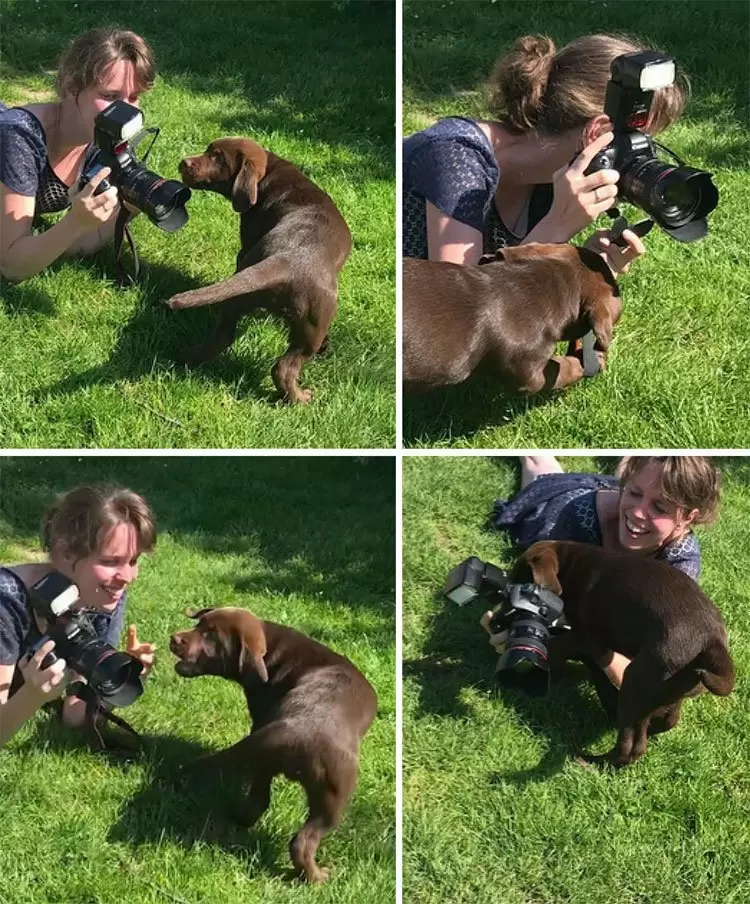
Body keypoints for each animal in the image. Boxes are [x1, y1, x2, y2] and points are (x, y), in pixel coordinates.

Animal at [164, 138, 352, 402]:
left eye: (217, 156)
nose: (184, 163)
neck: (270, 175)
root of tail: (283, 260)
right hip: (316, 322)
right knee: (284, 368)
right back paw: (299, 398)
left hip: (237, 301)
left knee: (221, 337)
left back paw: (186, 358)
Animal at [170, 608, 376, 884]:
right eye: (199, 625)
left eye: (210, 634)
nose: (174, 639)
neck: (272, 655)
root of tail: (293, 727)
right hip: (336, 795)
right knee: (302, 842)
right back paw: (316, 877)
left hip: (264, 763)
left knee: (258, 802)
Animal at [512, 540, 736, 768]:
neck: (573, 563)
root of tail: (714, 643)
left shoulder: (587, 637)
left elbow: (557, 647)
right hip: (677, 686)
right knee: (668, 720)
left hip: (638, 682)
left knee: (630, 747)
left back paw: (590, 762)